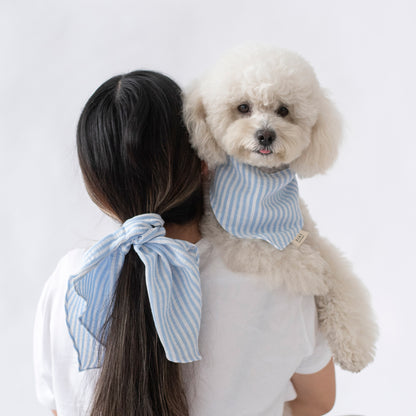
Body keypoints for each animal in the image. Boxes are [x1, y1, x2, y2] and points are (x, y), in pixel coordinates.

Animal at [184, 44, 378, 374]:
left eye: (284, 110)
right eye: (243, 107)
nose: (265, 134)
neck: (263, 187)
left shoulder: (311, 234)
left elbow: (341, 281)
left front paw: (354, 346)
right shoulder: (233, 237)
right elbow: (277, 254)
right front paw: (313, 272)